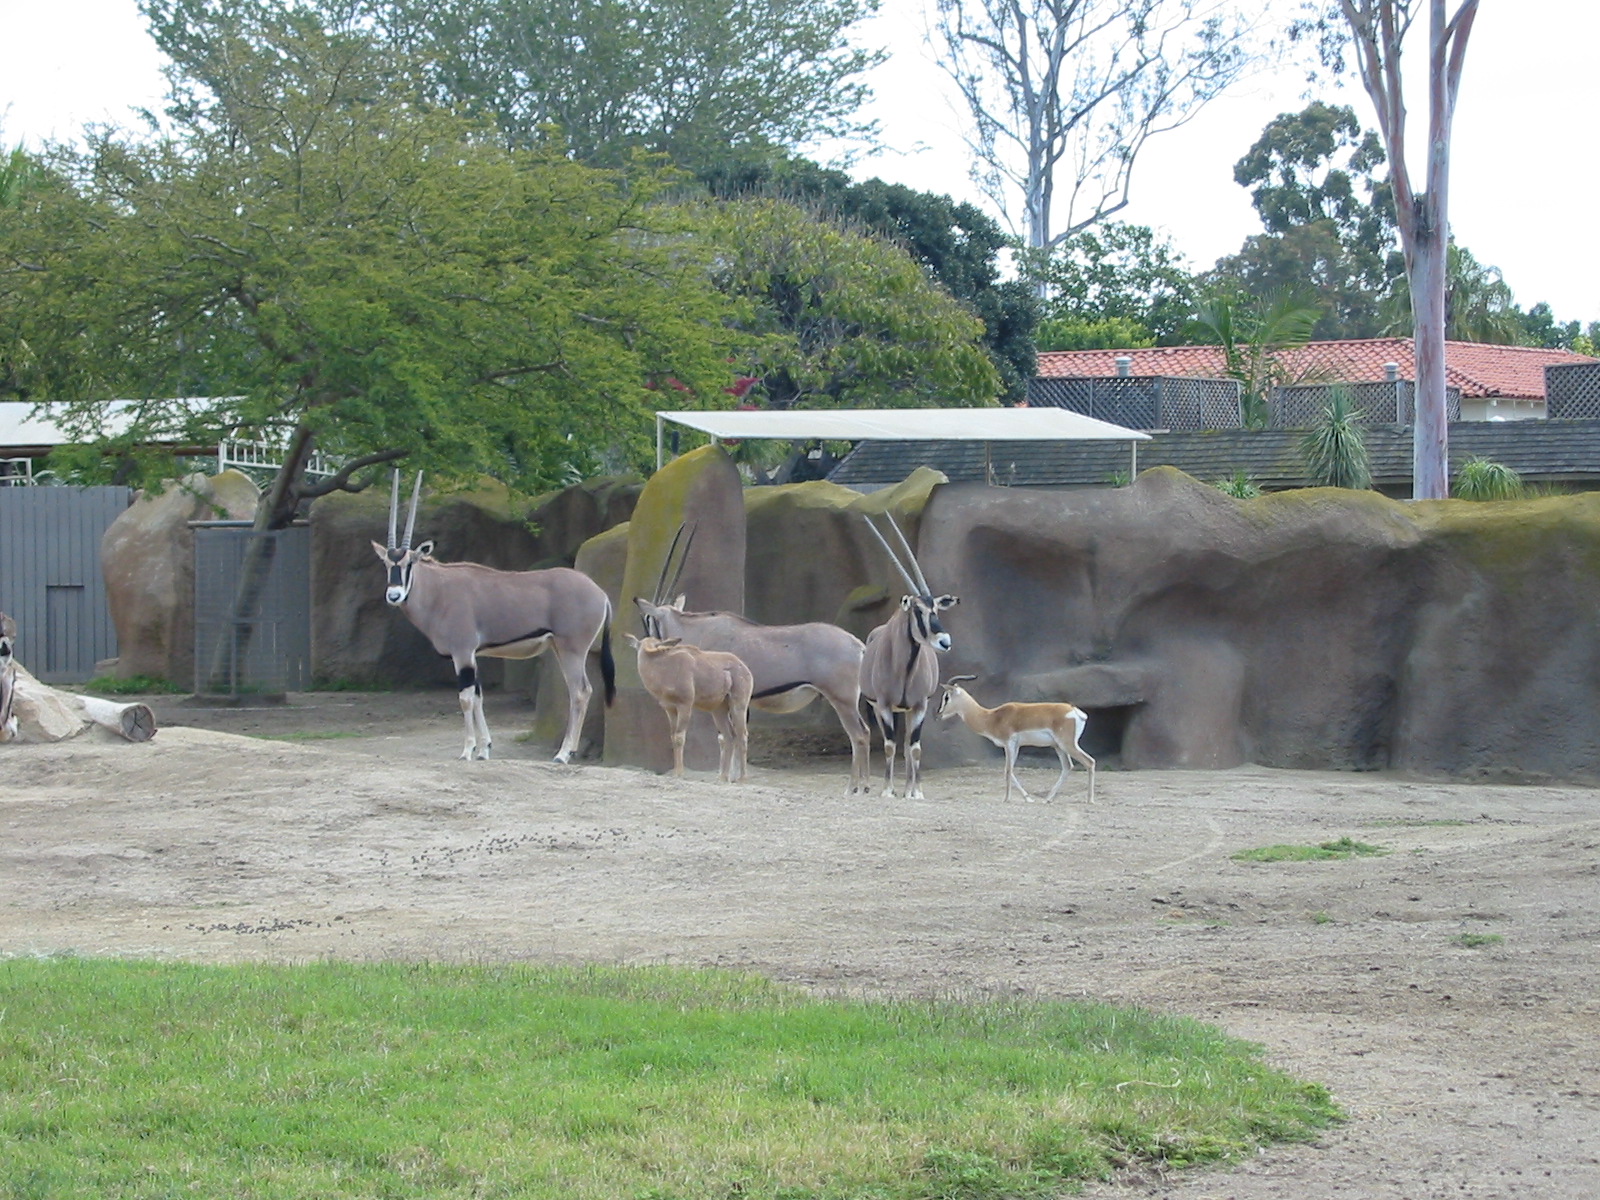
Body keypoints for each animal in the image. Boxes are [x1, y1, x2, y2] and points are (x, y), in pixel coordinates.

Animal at [372, 471, 615, 763]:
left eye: (410, 563)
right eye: (387, 563)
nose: (394, 595)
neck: (439, 589)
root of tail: (601, 593)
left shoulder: (462, 652)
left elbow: (465, 698)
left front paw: (467, 751)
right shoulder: (472, 655)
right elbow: (478, 697)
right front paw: (484, 749)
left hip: (572, 649)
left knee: (580, 691)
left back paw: (563, 753)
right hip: (560, 647)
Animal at [625, 634, 753, 782]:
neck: (663, 669)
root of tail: (745, 669)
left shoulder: (685, 705)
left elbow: (680, 737)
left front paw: (680, 773)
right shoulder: (670, 709)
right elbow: (673, 737)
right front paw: (676, 772)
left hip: (739, 706)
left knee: (742, 735)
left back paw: (742, 778)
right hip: (718, 710)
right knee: (729, 737)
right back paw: (723, 777)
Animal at [857, 514, 959, 800]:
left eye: (936, 609)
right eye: (917, 610)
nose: (945, 641)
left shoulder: (920, 705)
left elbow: (914, 747)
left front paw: (916, 792)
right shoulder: (883, 705)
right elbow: (890, 745)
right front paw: (887, 790)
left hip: (908, 710)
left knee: (906, 745)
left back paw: (909, 789)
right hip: (882, 708)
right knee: (891, 742)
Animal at [938, 676, 1096, 804]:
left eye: (946, 697)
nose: (939, 713)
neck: (992, 717)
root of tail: (1075, 711)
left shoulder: (1009, 743)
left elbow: (1008, 770)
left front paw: (1007, 798)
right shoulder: (1016, 746)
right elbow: (1011, 770)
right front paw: (1028, 798)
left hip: (1068, 744)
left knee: (1089, 762)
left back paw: (1090, 800)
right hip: (1058, 746)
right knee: (1068, 766)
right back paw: (1048, 799)